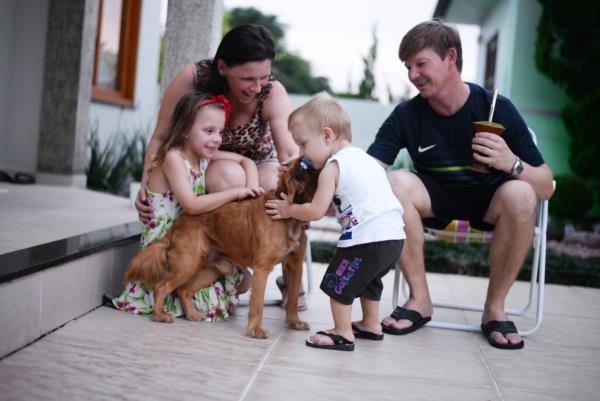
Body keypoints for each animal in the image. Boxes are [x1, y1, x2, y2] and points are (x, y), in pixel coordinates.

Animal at [122, 159, 318, 338]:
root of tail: (179, 222)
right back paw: (159, 315)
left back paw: (192, 315)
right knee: (162, 287)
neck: (287, 217)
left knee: (184, 290)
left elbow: (293, 299)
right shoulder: (262, 268)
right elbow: (257, 304)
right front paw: (255, 330)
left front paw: (294, 322)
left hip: (213, 268)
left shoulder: (295, 266)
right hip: (188, 264)